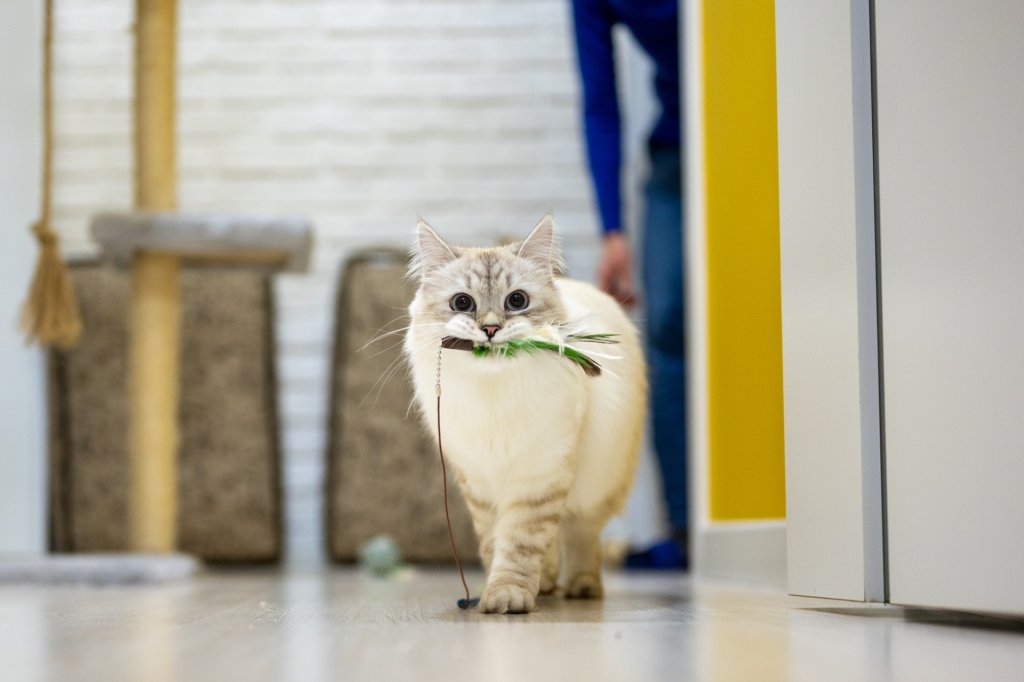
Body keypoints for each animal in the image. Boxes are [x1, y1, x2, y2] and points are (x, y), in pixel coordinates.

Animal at [403, 212, 643, 610]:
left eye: (516, 300)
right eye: (462, 303)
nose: (490, 328)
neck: (494, 391)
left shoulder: (540, 474)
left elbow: (520, 545)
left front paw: (507, 596)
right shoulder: (481, 485)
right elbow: (495, 545)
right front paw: (498, 592)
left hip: (597, 485)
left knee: (582, 535)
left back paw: (581, 587)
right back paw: (546, 585)